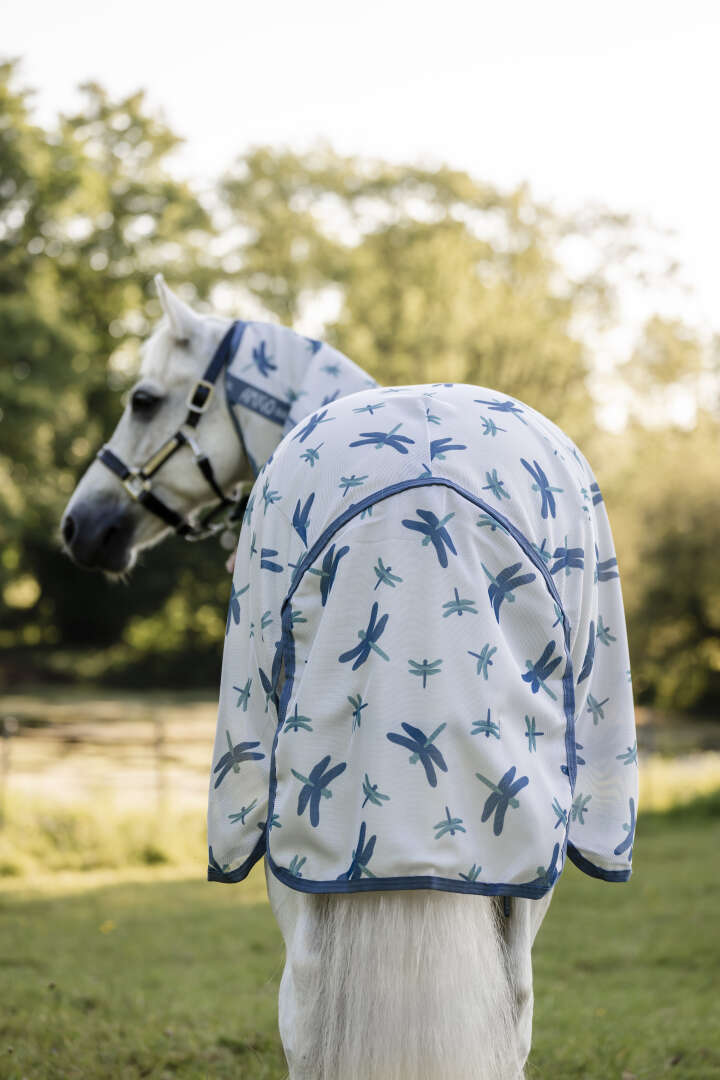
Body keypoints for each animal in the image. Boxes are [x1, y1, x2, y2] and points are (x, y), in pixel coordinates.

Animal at [62, 277, 636, 1079]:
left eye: (143, 400)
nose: (81, 527)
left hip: (271, 828)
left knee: (303, 1008)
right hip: (524, 859)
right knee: (510, 1007)